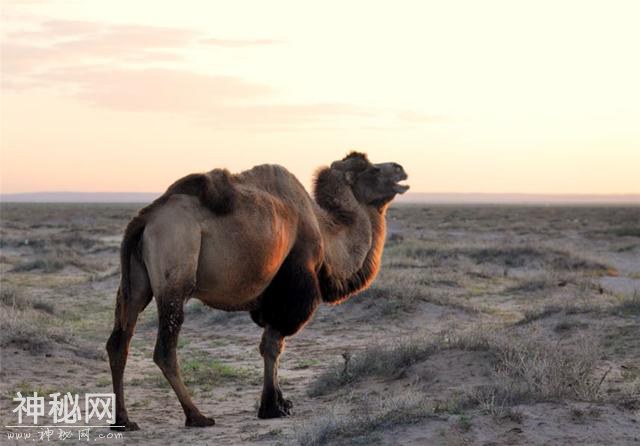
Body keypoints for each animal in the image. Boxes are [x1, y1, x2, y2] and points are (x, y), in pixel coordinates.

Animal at [104, 152, 404, 430]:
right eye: (374, 169)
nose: (400, 167)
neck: (326, 233)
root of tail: (146, 219)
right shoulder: (291, 289)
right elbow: (272, 346)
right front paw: (271, 406)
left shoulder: (271, 299)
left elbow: (272, 347)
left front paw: (281, 403)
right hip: (175, 268)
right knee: (165, 348)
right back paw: (196, 416)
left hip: (136, 284)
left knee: (119, 342)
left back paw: (124, 420)